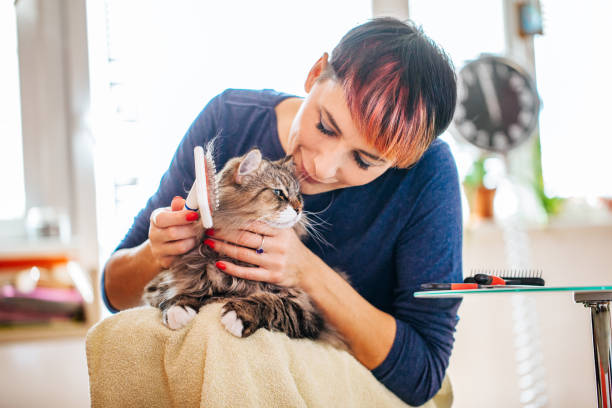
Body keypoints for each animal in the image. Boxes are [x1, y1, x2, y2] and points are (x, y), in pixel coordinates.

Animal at [142, 149, 344, 348]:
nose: (299, 209)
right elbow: (188, 288)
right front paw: (178, 306)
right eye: (279, 193)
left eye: (298, 196)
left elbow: (272, 303)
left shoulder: (305, 308)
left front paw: (239, 315)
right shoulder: (176, 280)